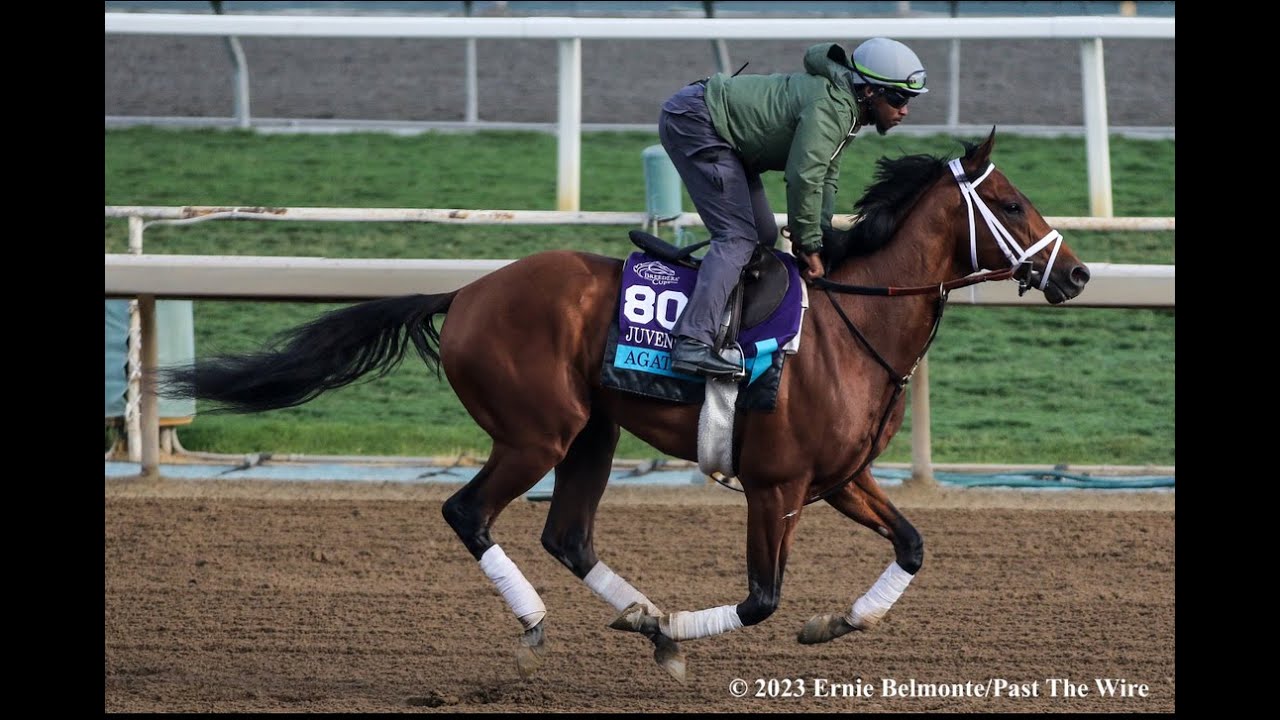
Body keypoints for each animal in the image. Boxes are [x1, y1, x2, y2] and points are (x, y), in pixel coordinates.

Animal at [160, 126, 1090, 681]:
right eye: (1010, 203)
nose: (1077, 273)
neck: (850, 322)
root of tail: (467, 292)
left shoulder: (839, 478)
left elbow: (913, 546)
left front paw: (834, 623)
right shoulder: (776, 487)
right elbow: (761, 598)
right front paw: (707, 625)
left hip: (592, 434)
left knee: (568, 536)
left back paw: (650, 624)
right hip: (536, 434)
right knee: (469, 513)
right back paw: (549, 622)